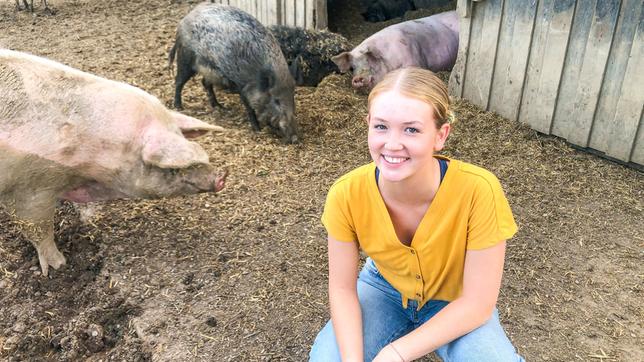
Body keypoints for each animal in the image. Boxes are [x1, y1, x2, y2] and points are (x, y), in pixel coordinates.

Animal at [171, 3, 302, 144]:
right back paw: (179, 107)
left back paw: (220, 107)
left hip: (210, 71)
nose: (295, 138)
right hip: (185, 57)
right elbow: (250, 109)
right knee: (178, 81)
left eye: (292, 96)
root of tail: (185, 18)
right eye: (276, 101)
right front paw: (257, 129)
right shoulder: (242, 88)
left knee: (205, 83)